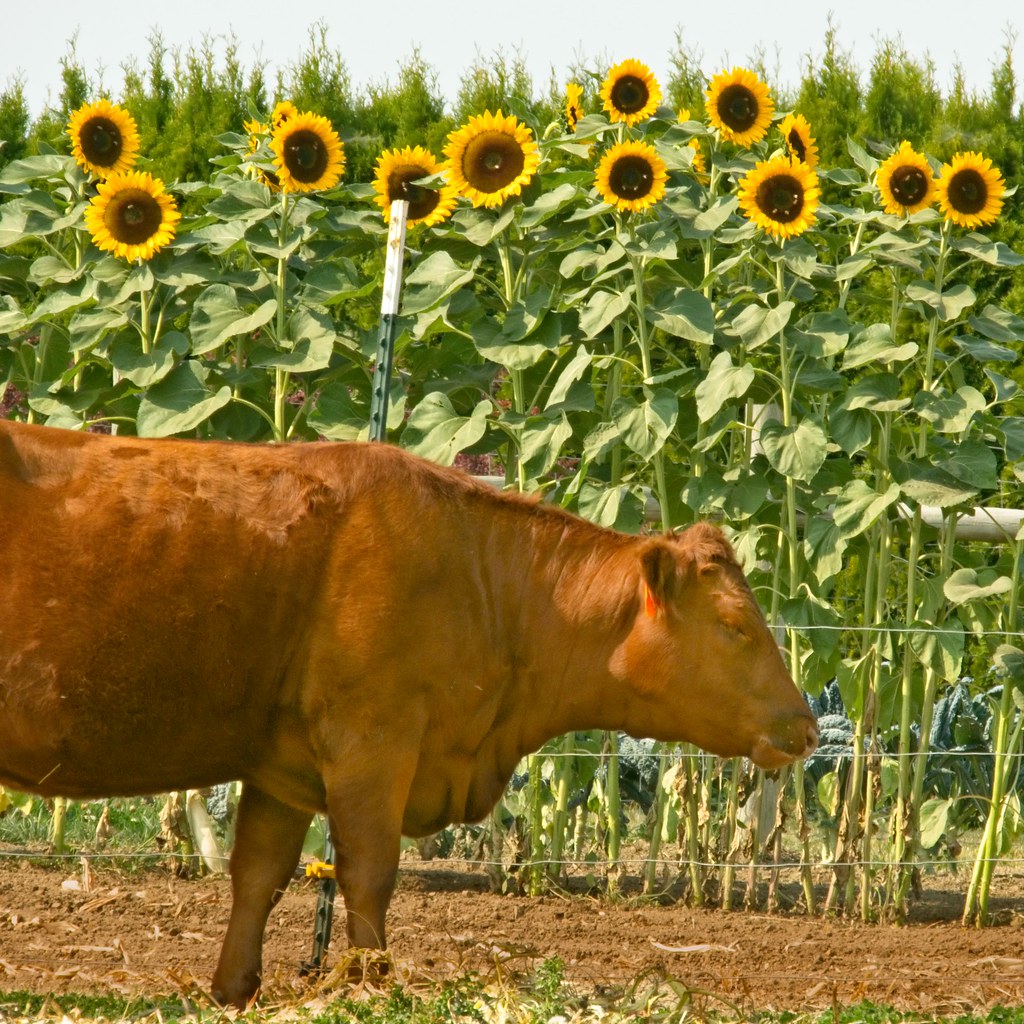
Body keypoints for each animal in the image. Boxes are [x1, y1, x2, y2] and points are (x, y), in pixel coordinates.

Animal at [0, 419, 815, 1003]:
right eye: (736, 627)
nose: (805, 725)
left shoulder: (281, 767)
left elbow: (258, 873)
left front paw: (234, 991)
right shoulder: (372, 741)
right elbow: (368, 870)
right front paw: (369, 984)